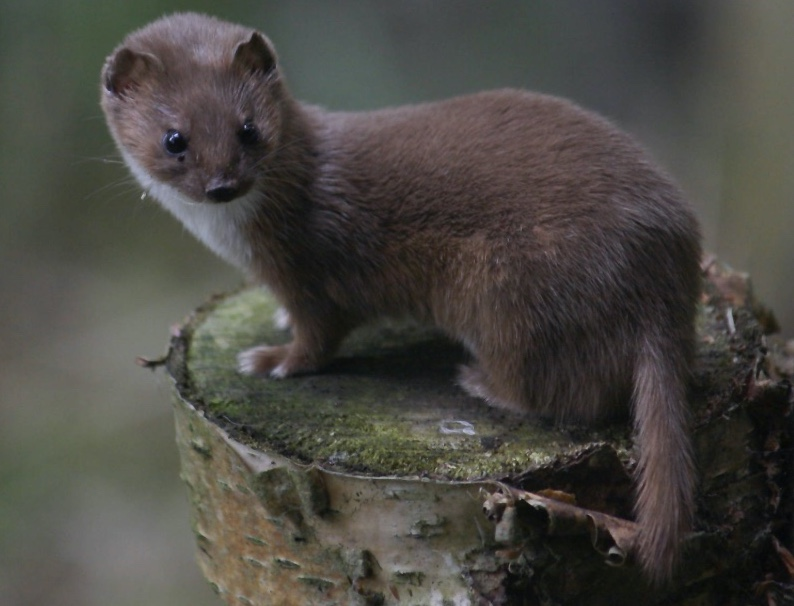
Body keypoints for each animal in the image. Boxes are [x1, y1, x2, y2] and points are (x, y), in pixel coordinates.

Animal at [100, 13, 700, 584]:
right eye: (174, 138)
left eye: (248, 128)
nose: (222, 184)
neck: (234, 237)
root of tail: (668, 267)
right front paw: (276, 322)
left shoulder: (309, 266)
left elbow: (319, 334)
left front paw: (273, 361)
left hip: (511, 293)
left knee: (573, 392)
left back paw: (481, 382)